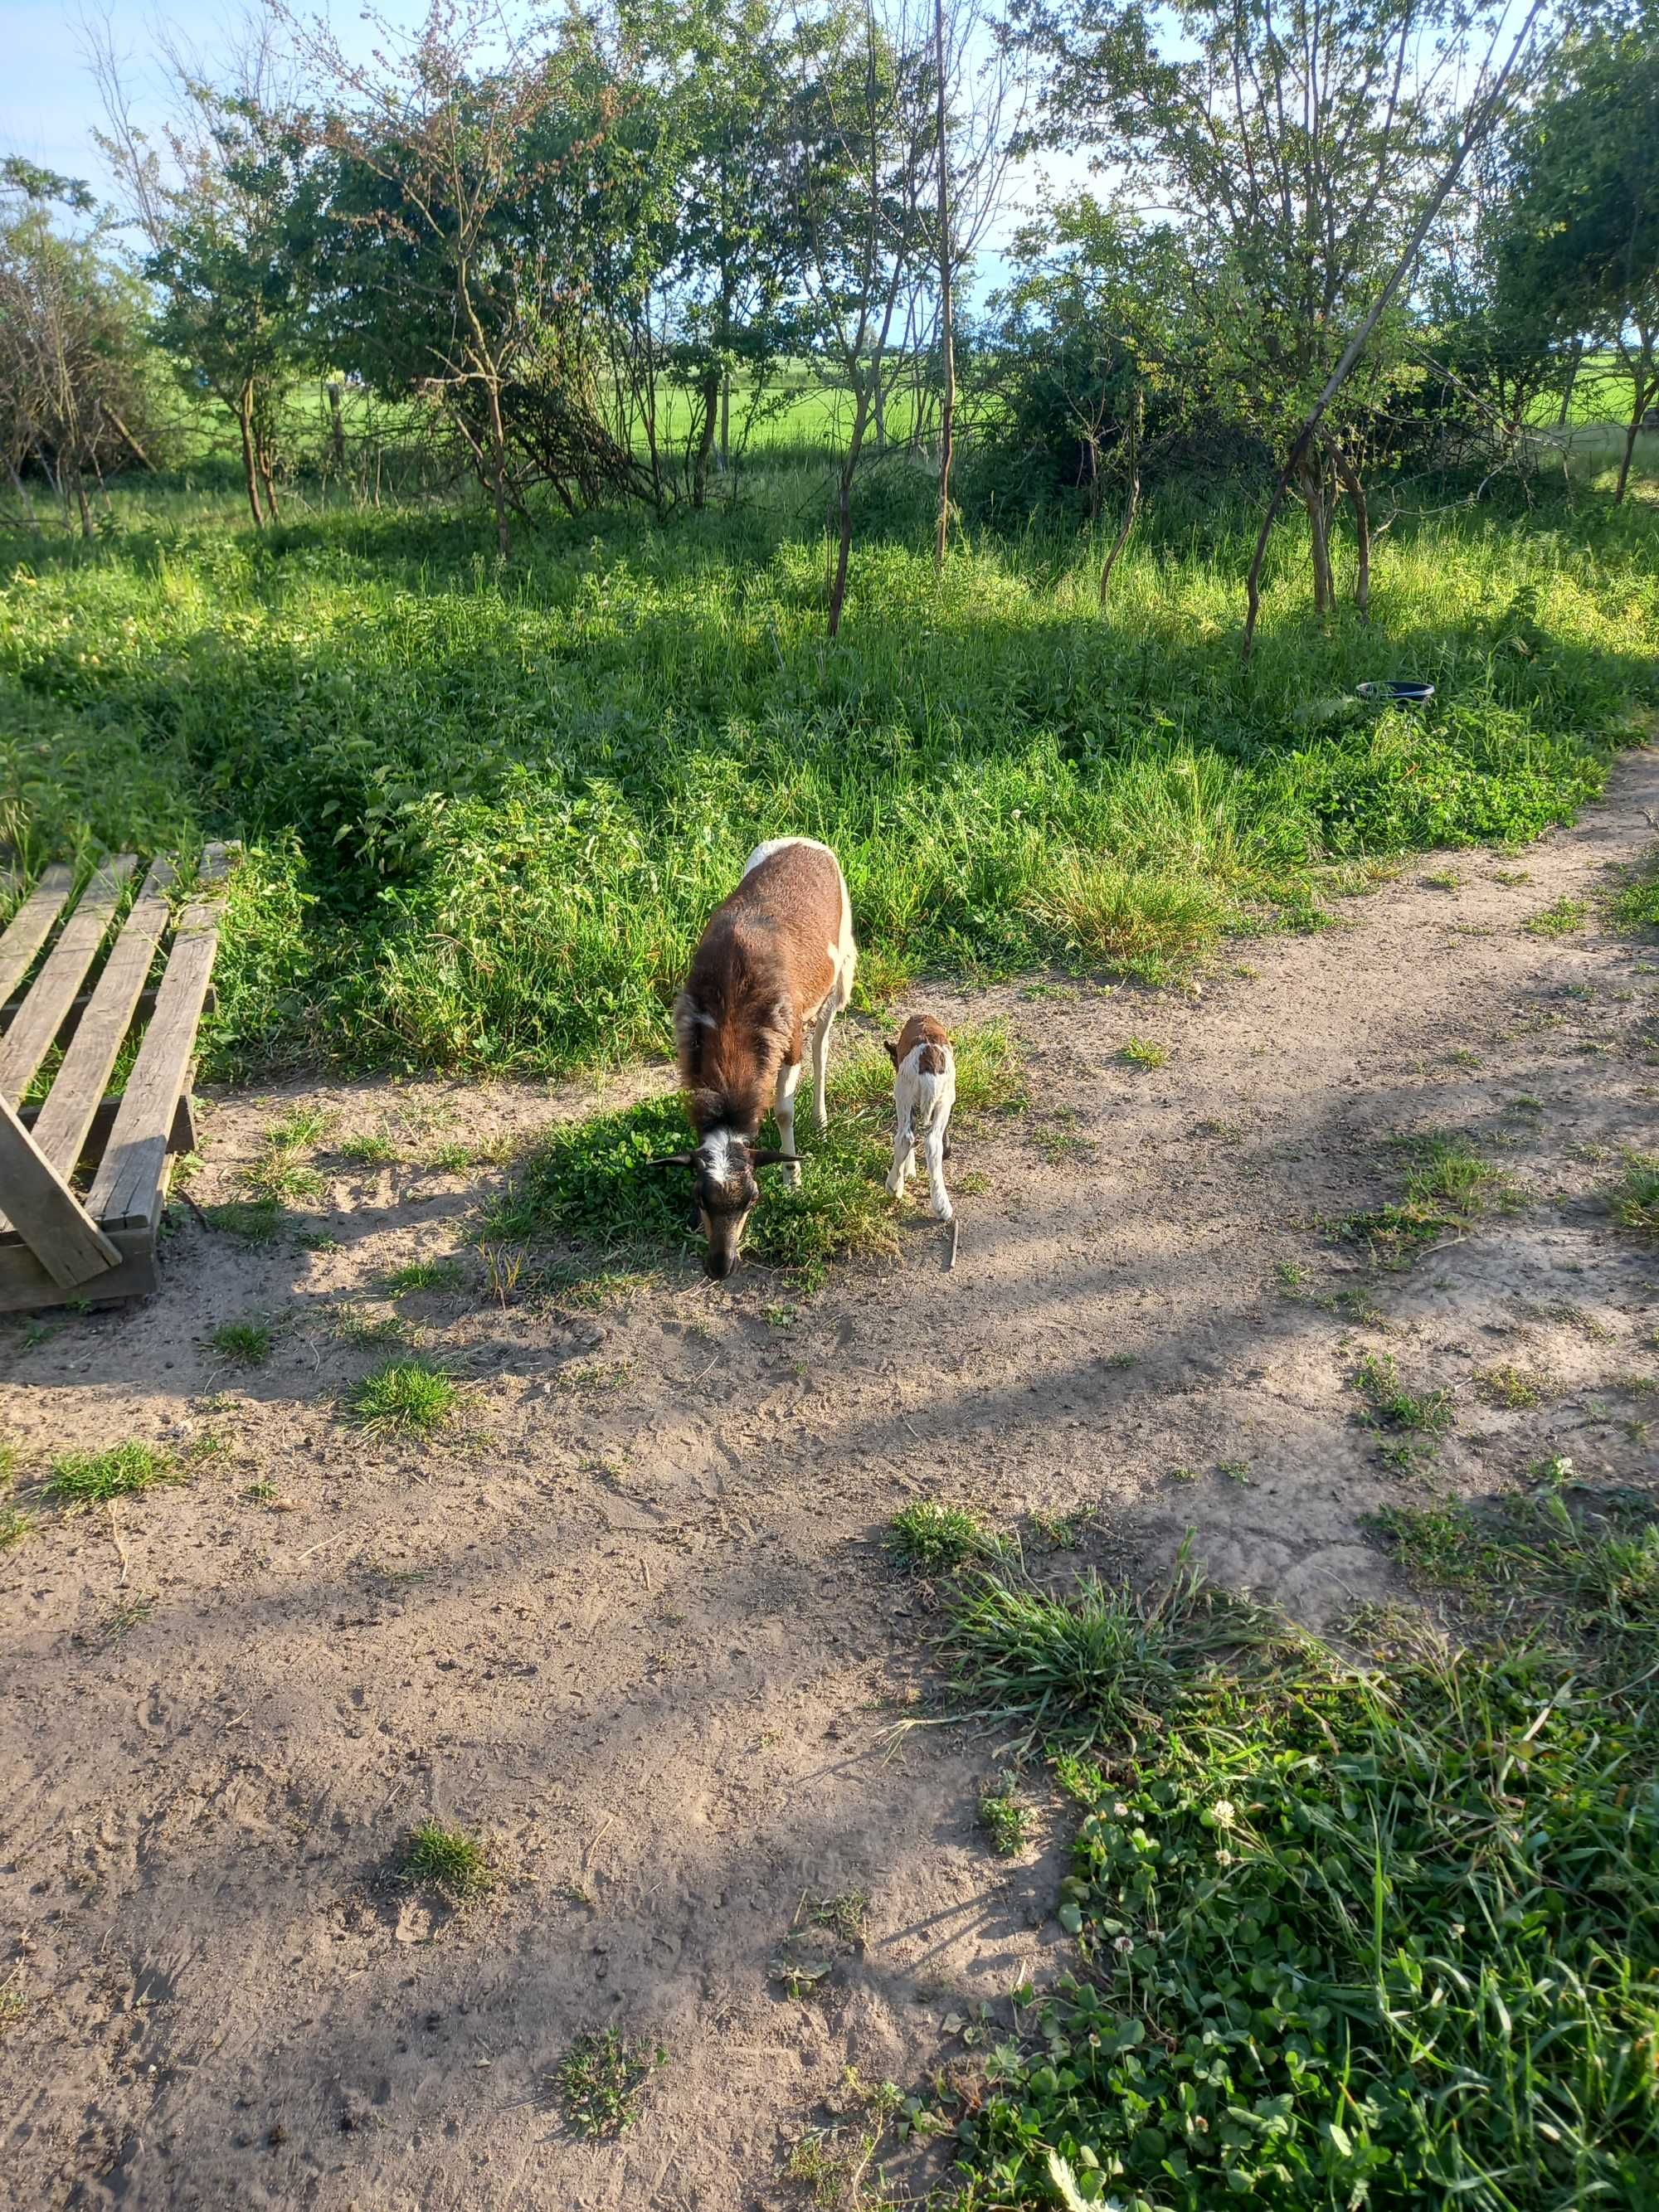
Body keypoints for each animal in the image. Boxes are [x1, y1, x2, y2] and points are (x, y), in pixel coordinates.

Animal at [654, 831, 858, 1291]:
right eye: (698, 1196)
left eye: (752, 1198)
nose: (720, 1266)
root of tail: (805, 840)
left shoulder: (788, 1039)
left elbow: (783, 1109)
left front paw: (793, 1179)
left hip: (840, 972)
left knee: (823, 1043)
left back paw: (820, 1118)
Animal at [884, 1013, 960, 1221]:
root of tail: (928, 1058)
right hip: (939, 1098)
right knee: (929, 1141)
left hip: (905, 1094)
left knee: (906, 1137)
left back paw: (896, 1188)